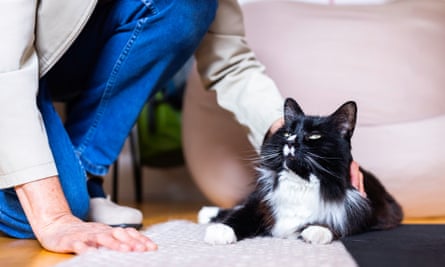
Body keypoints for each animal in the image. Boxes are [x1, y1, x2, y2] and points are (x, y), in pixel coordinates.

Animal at [198, 98, 402, 245]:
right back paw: (207, 213)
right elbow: (241, 214)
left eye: (314, 136)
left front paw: (317, 230)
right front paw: (221, 231)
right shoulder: (260, 202)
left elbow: (339, 224)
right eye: (288, 133)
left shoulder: (363, 210)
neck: (300, 182)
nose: (290, 142)